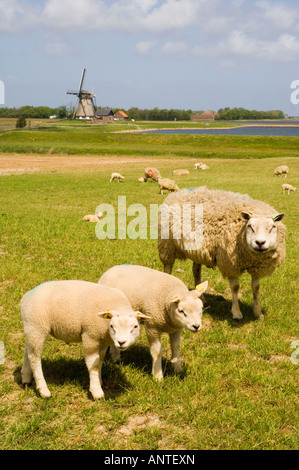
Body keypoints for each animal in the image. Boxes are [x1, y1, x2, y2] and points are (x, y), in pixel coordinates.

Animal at [19, 280, 149, 398]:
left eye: (135, 326)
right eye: (112, 326)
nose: (121, 342)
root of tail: (26, 296)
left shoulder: (101, 340)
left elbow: (100, 360)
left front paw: (99, 381)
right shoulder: (90, 336)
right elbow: (93, 364)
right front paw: (96, 391)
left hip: (31, 328)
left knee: (27, 352)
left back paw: (26, 379)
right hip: (37, 327)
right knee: (34, 358)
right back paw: (43, 390)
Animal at [158, 187, 288, 324]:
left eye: (273, 227)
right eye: (250, 226)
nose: (260, 243)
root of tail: (178, 192)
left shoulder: (258, 266)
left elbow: (256, 288)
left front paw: (258, 313)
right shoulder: (230, 263)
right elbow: (235, 288)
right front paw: (237, 313)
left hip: (196, 251)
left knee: (196, 271)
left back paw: (202, 298)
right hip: (167, 245)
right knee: (168, 268)